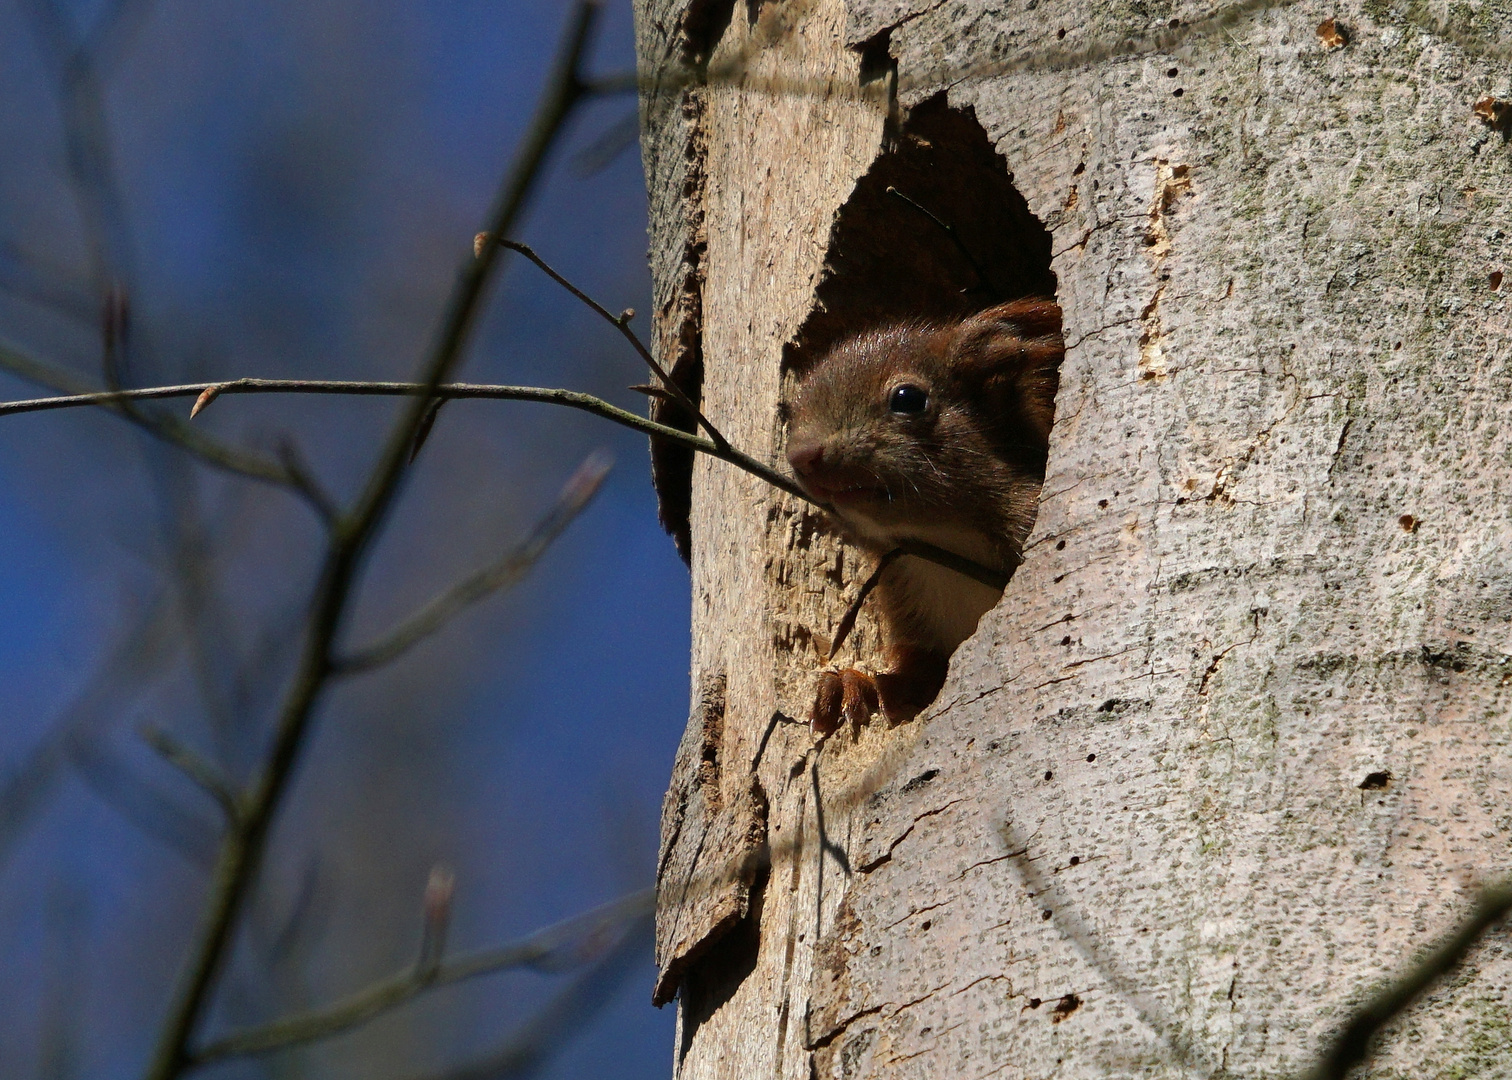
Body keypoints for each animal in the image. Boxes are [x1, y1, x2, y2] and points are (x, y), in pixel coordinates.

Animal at [780, 294, 1064, 732]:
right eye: (790, 414)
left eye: (908, 399)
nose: (802, 456)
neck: (943, 541)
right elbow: (920, 675)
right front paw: (849, 684)